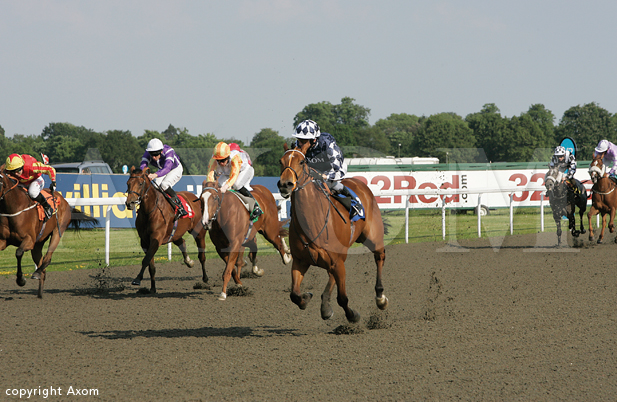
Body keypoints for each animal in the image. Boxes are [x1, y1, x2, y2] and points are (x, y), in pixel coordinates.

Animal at [0, 168, 97, 296]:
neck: (15, 208)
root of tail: (63, 200)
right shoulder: (3, 240)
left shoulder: (29, 240)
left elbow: (19, 252)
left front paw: (21, 280)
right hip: (38, 243)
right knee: (42, 265)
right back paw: (40, 292)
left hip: (57, 231)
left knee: (47, 258)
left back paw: (37, 273)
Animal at [278, 143, 388, 322]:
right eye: (281, 161)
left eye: (301, 161)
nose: (285, 184)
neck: (312, 222)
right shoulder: (301, 261)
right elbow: (294, 294)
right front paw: (306, 297)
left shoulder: (337, 262)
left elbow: (342, 298)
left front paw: (353, 315)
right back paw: (325, 306)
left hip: (373, 237)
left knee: (380, 257)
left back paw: (380, 298)